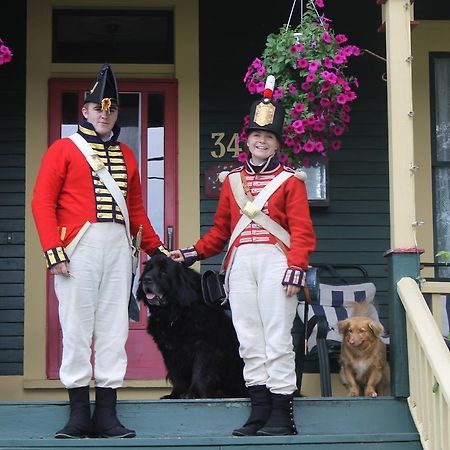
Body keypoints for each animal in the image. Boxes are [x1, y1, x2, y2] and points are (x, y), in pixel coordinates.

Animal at [136, 255, 246, 400]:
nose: (146, 279)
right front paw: (175, 394)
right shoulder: (169, 351)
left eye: (164, 272)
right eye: (148, 269)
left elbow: (200, 371)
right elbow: (176, 374)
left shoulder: (204, 346)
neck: (176, 314)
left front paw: (194, 393)